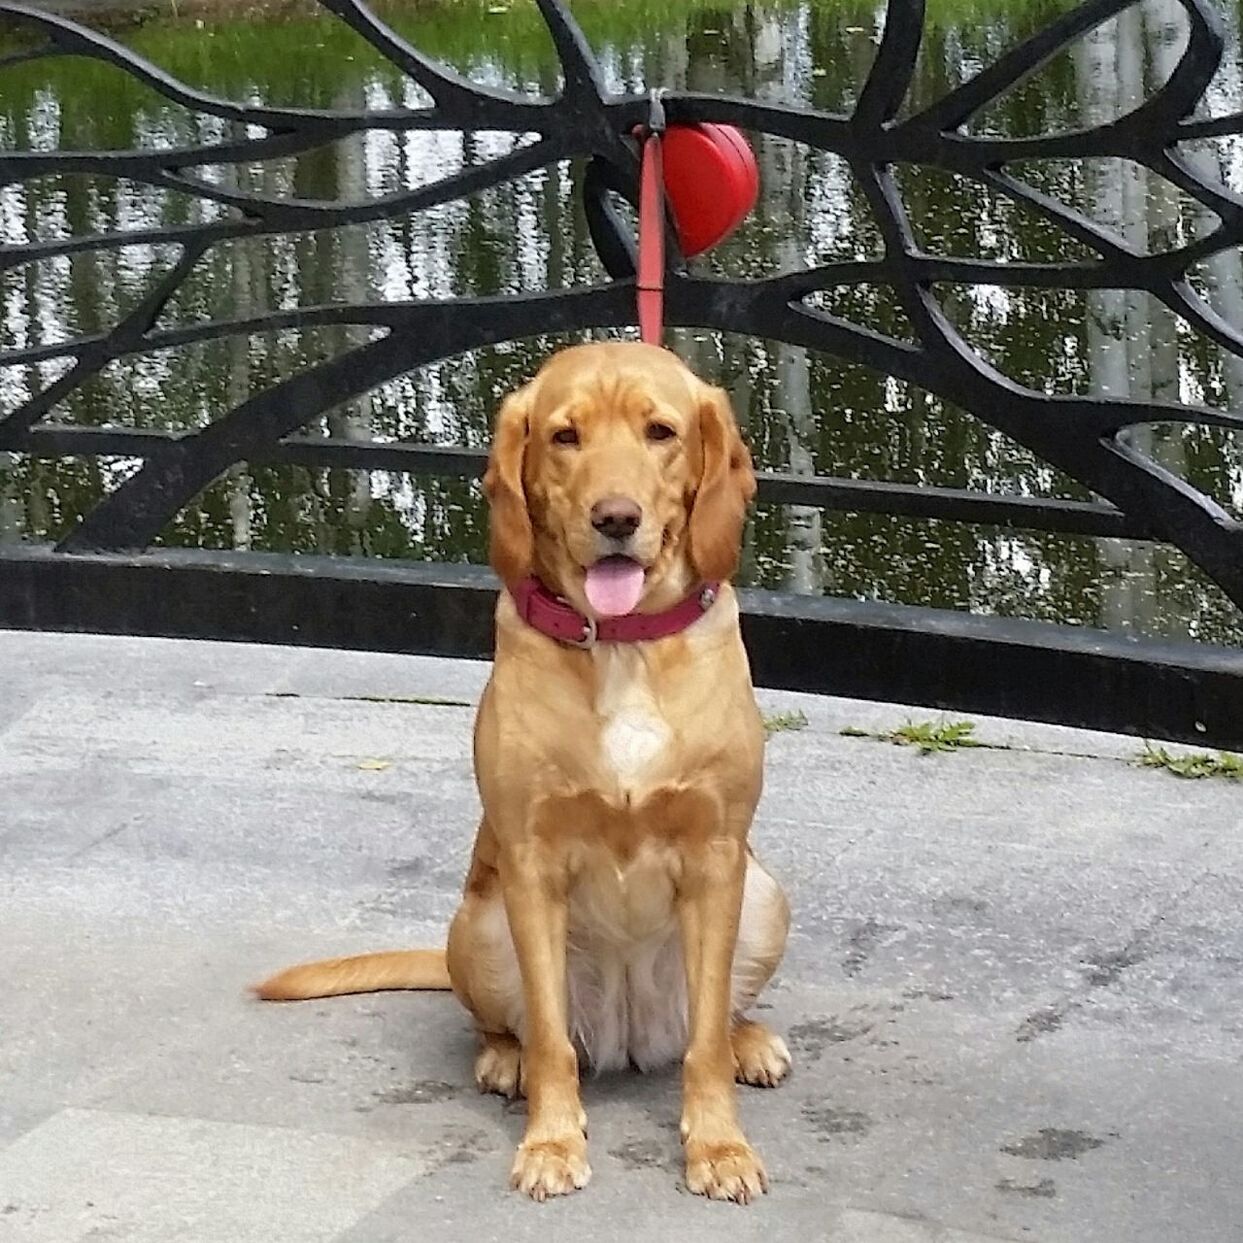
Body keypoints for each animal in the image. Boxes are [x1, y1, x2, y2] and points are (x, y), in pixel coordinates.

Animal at [256, 340, 790, 1203]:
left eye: (660, 431)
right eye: (565, 436)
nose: (615, 518)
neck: (620, 644)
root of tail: (632, 1035)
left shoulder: (716, 857)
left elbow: (704, 1043)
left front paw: (718, 1147)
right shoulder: (531, 866)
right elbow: (548, 1038)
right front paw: (550, 1140)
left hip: (764, 895)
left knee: (706, 1021)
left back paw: (749, 1039)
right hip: (477, 922)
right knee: (510, 1023)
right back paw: (501, 1059)